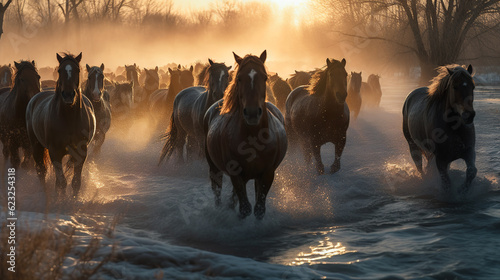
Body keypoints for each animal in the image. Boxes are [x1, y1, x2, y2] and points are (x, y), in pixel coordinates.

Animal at [25, 52, 96, 197]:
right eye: (59, 70)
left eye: (77, 70)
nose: (68, 95)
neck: (69, 119)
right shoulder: (55, 152)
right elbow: (62, 182)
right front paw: (61, 200)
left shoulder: (80, 153)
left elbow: (75, 182)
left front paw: (73, 200)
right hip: (36, 146)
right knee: (41, 171)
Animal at [204, 51, 290, 220]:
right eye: (239, 78)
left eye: (265, 77)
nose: (252, 113)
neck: (253, 136)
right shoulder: (236, 175)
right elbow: (244, 208)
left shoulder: (267, 174)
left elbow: (258, 209)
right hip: (214, 167)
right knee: (217, 188)